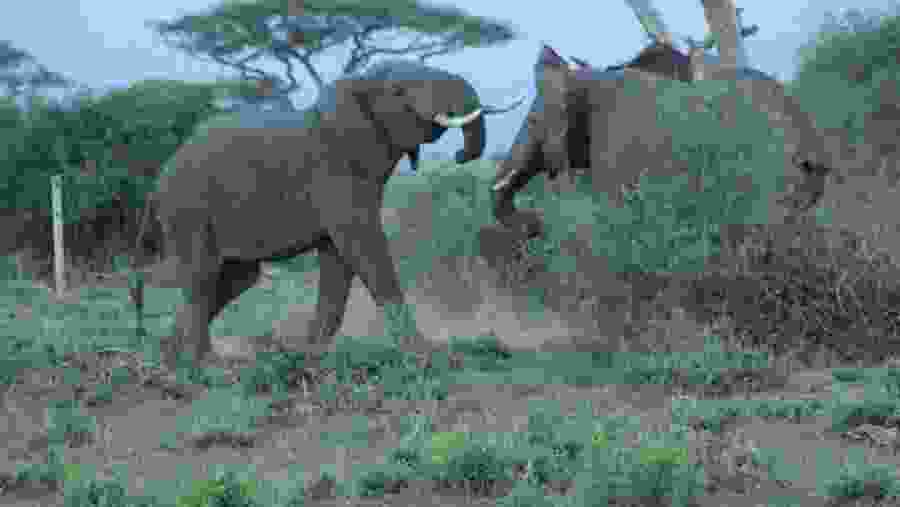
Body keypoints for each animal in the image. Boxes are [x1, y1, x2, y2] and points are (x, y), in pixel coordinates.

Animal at [128, 59, 525, 367]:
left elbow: (338, 261)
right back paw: (205, 364)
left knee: (236, 277)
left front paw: (309, 356)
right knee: (202, 274)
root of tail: (157, 182)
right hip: (188, 208)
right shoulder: (335, 175)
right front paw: (425, 357)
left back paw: (170, 355)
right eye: (398, 91)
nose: (460, 155)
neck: (359, 84)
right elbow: (363, 246)